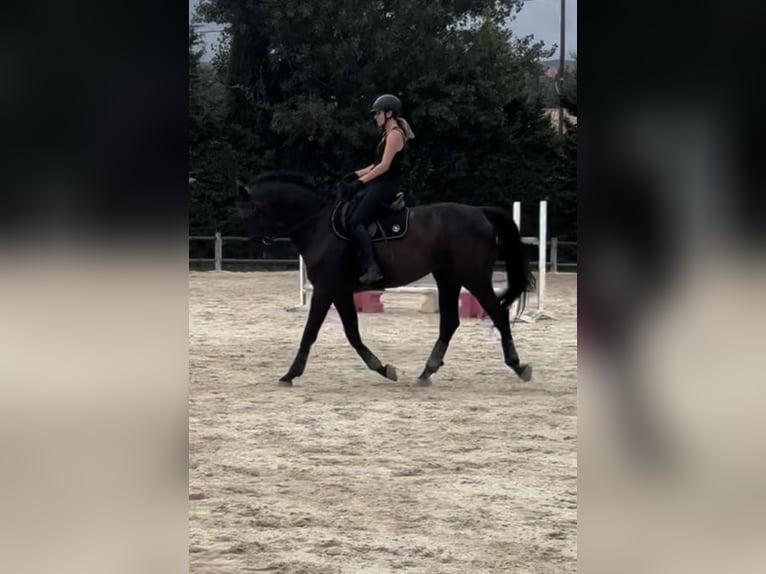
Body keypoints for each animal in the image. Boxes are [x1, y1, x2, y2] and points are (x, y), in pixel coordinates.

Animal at [238, 171, 536, 388]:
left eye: (250, 210)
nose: (250, 243)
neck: (318, 225)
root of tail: (479, 212)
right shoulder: (340, 292)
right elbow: (353, 333)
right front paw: (383, 368)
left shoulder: (325, 289)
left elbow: (310, 332)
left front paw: (290, 374)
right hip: (448, 278)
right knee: (450, 322)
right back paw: (426, 372)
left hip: (474, 278)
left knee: (498, 314)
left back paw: (518, 365)